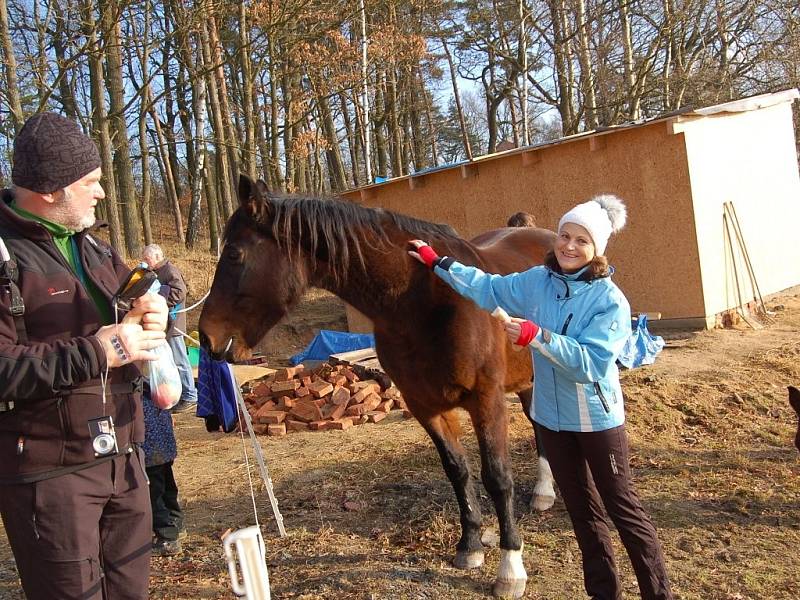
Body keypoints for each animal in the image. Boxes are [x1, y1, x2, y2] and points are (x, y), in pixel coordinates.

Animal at [198, 176, 556, 596]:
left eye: (234, 254)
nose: (206, 337)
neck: (422, 301)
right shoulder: (424, 405)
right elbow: (458, 470)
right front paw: (470, 545)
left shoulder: (486, 401)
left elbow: (497, 478)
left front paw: (510, 567)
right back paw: (543, 492)